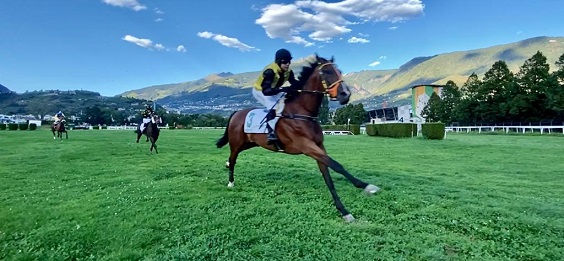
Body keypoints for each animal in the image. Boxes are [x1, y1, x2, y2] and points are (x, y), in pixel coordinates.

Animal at [215, 53, 378, 220]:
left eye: (339, 71)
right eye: (327, 72)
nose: (345, 94)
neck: (303, 112)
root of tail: (236, 113)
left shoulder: (319, 147)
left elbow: (328, 176)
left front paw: (344, 209)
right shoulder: (306, 146)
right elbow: (336, 165)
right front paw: (365, 187)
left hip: (249, 143)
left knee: (231, 159)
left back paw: (226, 165)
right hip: (236, 143)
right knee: (233, 159)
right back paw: (230, 182)